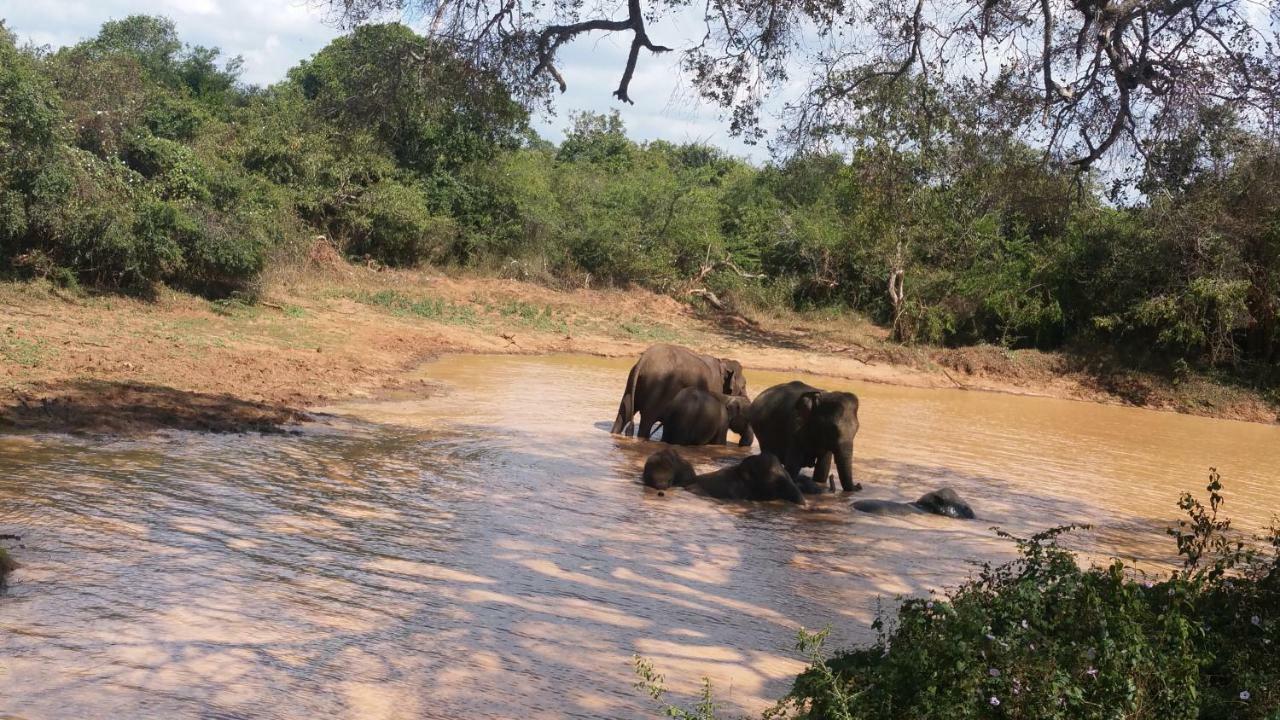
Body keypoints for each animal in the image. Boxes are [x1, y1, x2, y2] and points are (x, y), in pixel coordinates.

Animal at [611, 340, 747, 438]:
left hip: (633, 383)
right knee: (647, 420)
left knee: (624, 413)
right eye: (744, 385)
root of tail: (643, 361)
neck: (723, 363)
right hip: (658, 386)